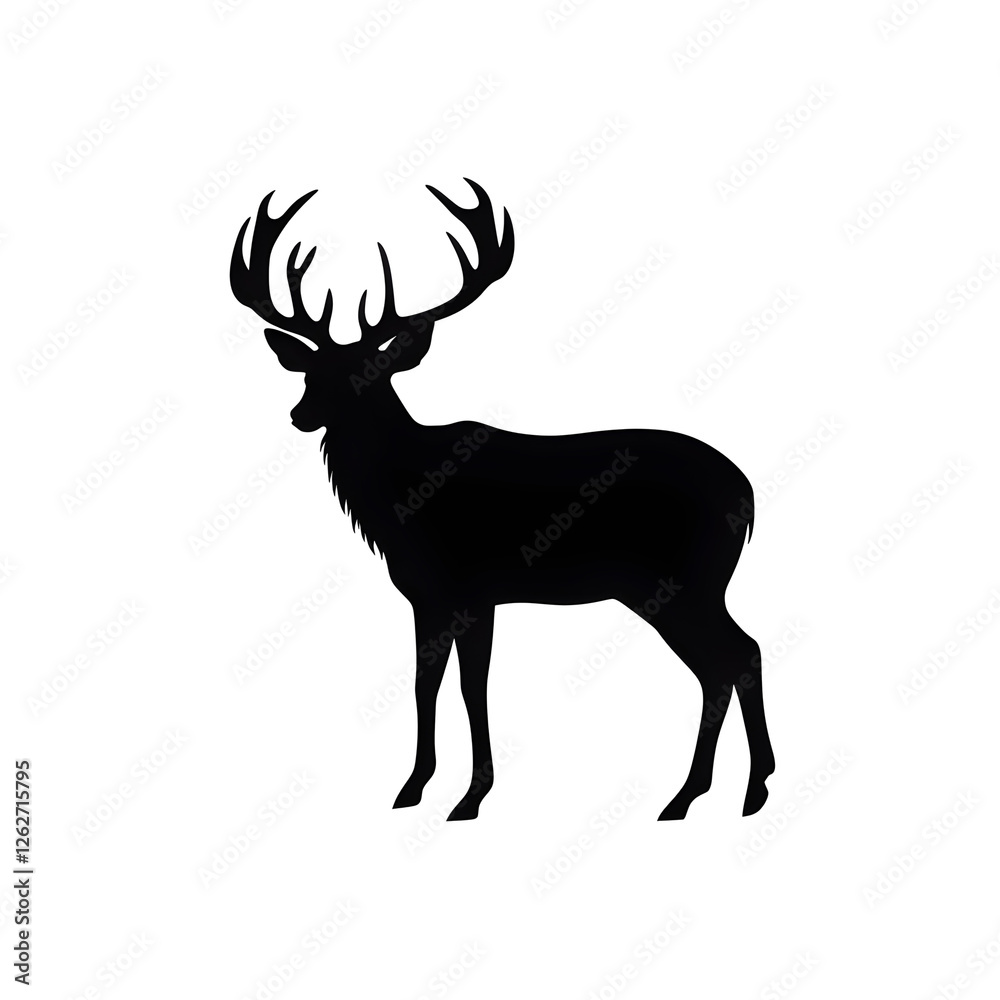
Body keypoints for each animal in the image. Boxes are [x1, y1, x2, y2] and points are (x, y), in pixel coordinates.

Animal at [230, 179, 774, 821]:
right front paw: (427, 788)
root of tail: (747, 493)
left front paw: (459, 795)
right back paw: (715, 792)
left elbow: (462, 686)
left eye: (371, 372)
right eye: (310, 372)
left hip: (686, 579)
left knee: (736, 654)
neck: (400, 506)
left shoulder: (463, 588)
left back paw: (724, 790)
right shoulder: (444, 596)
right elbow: (438, 683)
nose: (299, 414)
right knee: (727, 661)